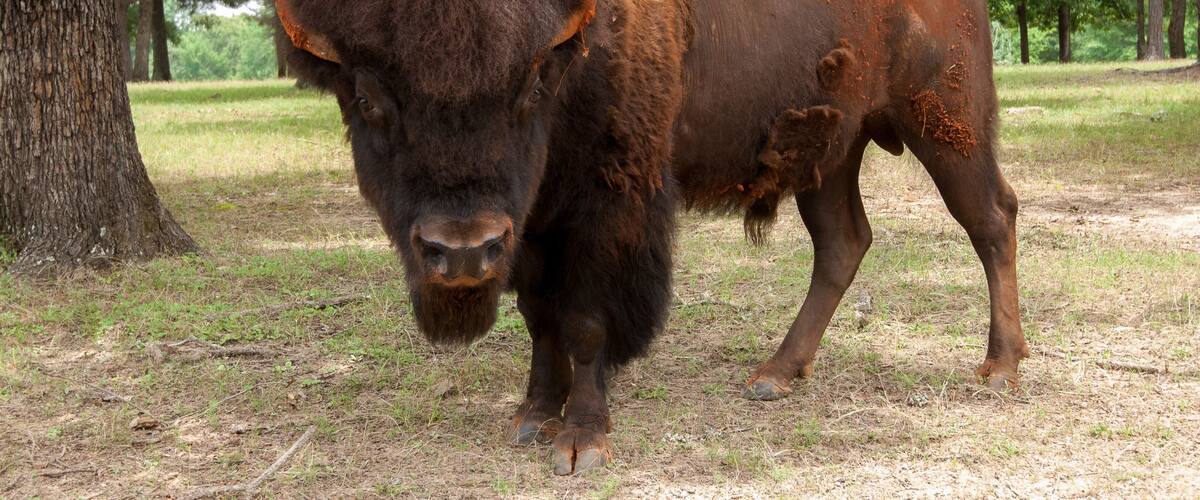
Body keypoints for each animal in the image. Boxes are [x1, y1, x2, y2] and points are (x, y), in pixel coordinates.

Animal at [277, 0, 1028, 475]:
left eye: (529, 85)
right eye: (368, 97)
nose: (461, 250)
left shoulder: (604, 208)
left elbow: (583, 322)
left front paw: (580, 442)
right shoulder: (533, 226)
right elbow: (540, 319)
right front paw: (532, 415)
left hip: (944, 121)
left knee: (992, 218)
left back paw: (1001, 365)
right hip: (829, 148)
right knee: (844, 243)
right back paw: (774, 375)